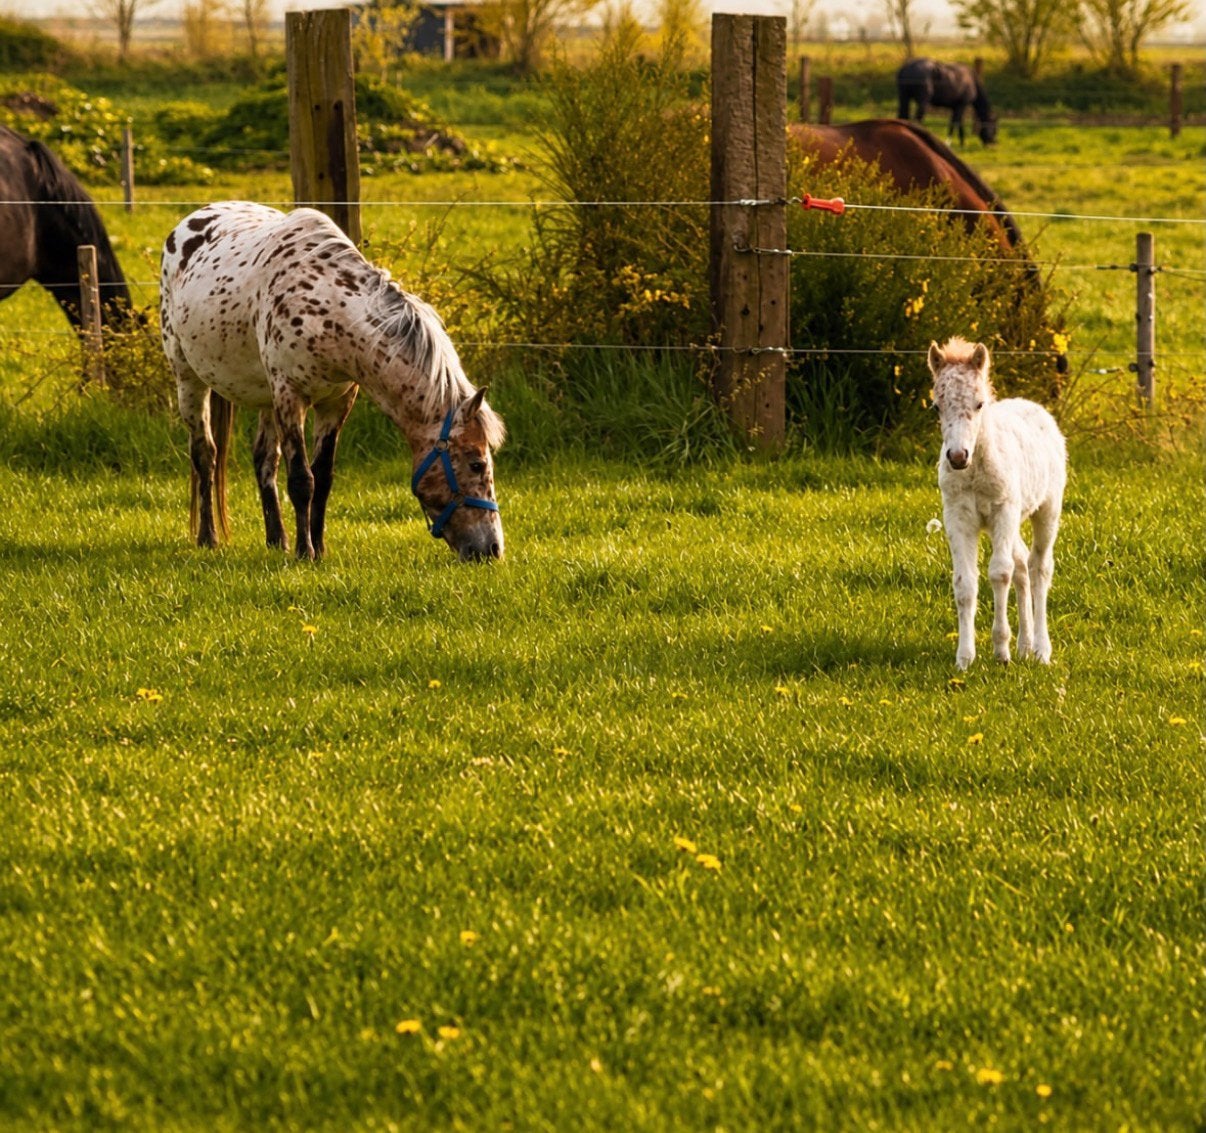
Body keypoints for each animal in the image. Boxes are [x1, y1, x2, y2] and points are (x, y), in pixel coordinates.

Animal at [159, 200, 505, 562]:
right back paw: (208, 537)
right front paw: (304, 552)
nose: (492, 548)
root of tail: (189, 222)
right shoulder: (290, 396)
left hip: (265, 397)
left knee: (264, 460)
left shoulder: (336, 403)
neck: (329, 309)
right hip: (189, 381)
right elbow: (302, 480)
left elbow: (322, 478)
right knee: (205, 455)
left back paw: (276, 539)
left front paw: (319, 547)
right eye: (477, 464)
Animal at [928, 337, 1065, 670]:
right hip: (1007, 522)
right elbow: (965, 583)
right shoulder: (958, 516)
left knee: (1039, 566)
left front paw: (1001, 651)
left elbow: (999, 572)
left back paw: (1041, 650)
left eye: (979, 404)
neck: (976, 469)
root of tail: (1033, 407)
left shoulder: (1003, 510)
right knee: (1022, 564)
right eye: (937, 406)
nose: (957, 457)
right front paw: (965, 658)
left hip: (1046, 509)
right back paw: (1025, 646)